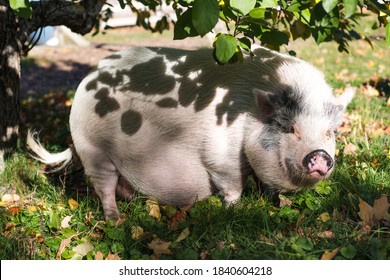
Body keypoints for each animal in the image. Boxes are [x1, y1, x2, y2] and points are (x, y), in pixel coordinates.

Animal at [28, 46, 354, 221]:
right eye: (290, 128)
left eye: (328, 133)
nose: (319, 156)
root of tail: (87, 80)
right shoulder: (220, 158)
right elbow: (232, 186)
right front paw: (233, 211)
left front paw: (277, 203)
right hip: (94, 149)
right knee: (103, 186)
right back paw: (115, 220)